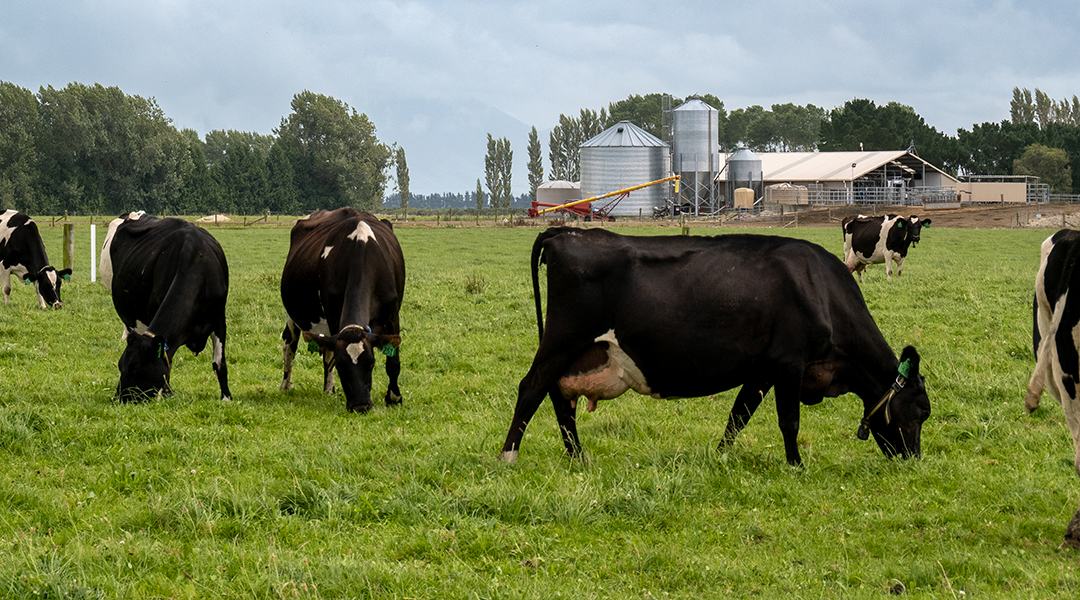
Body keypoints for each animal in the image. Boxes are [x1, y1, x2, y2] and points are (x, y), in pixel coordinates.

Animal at [99, 211, 231, 402]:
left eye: (135, 367)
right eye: (119, 365)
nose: (120, 399)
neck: (196, 261)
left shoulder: (219, 318)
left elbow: (219, 362)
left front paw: (226, 398)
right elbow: (168, 361)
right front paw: (164, 393)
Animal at [280, 208, 405, 413]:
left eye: (371, 363)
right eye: (341, 366)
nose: (361, 406)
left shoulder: (393, 315)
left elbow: (393, 362)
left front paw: (394, 398)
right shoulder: (332, 314)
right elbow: (330, 358)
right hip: (292, 315)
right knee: (290, 344)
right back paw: (287, 385)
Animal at [499, 227, 931, 466]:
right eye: (920, 411)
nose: (913, 461)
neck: (819, 289)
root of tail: (563, 230)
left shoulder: (761, 369)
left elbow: (738, 416)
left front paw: (720, 455)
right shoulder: (789, 362)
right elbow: (789, 420)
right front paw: (795, 464)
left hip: (574, 352)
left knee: (559, 398)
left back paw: (578, 457)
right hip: (562, 340)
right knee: (531, 388)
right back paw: (508, 457)